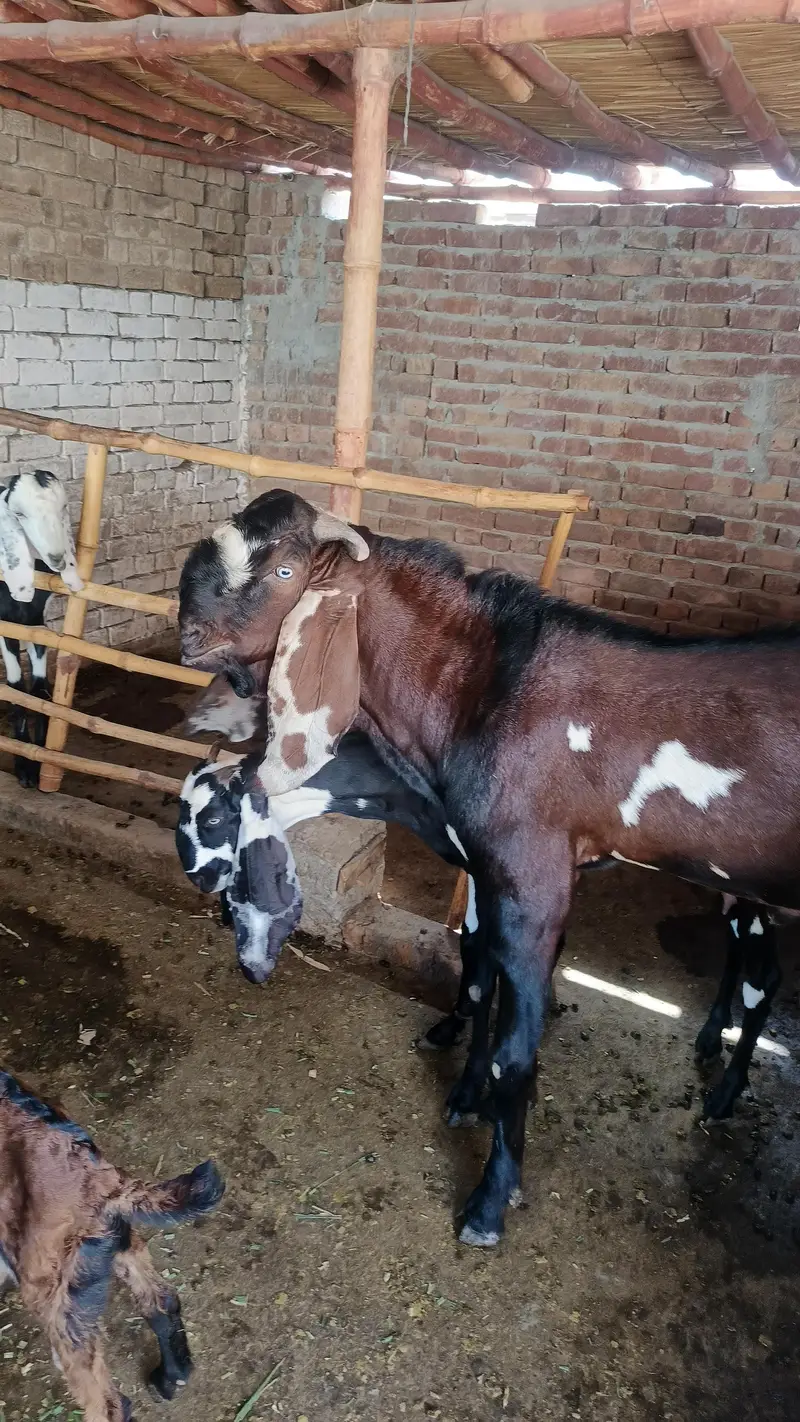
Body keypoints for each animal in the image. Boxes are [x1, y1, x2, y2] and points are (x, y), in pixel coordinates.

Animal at [0, 470, 82, 787]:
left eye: (63, 508)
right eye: (18, 514)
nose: (57, 558)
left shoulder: (38, 620)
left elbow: (38, 688)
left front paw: (37, 761)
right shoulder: (6, 623)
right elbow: (15, 689)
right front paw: (23, 768)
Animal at [0, 1068, 224, 1422]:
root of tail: (100, 1179)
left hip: (53, 1296)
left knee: (110, 1404)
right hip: (118, 1248)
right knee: (161, 1300)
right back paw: (171, 1378)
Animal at [178, 489, 800, 1247]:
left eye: (285, 570)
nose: (186, 633)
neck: (486, 690)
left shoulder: (531, 882)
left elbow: (514, 1044)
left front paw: (488, 1201)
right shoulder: (484, 866)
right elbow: (477, 971)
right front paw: (463, 1090)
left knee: (764, 977)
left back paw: (725, 1092)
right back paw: (712, 1049)